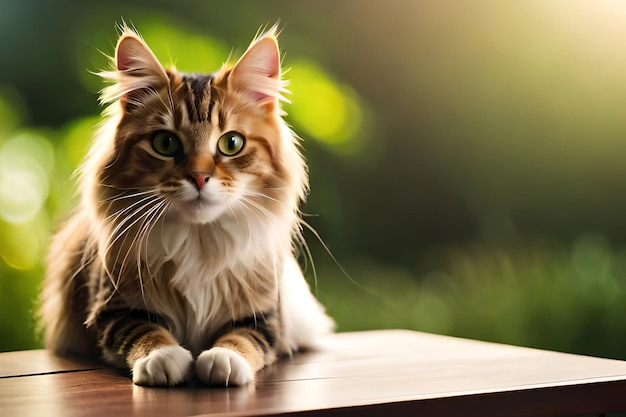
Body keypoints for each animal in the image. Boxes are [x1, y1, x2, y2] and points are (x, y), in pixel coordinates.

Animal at [39, 24, 334, 386]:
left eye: (231, 143)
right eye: (165, 143)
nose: (199, 177)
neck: (198, 240)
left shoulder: (265, 317)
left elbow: (241, 339)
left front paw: (223, 360)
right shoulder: (113, 309)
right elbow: (145, 331)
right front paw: (163, 359)